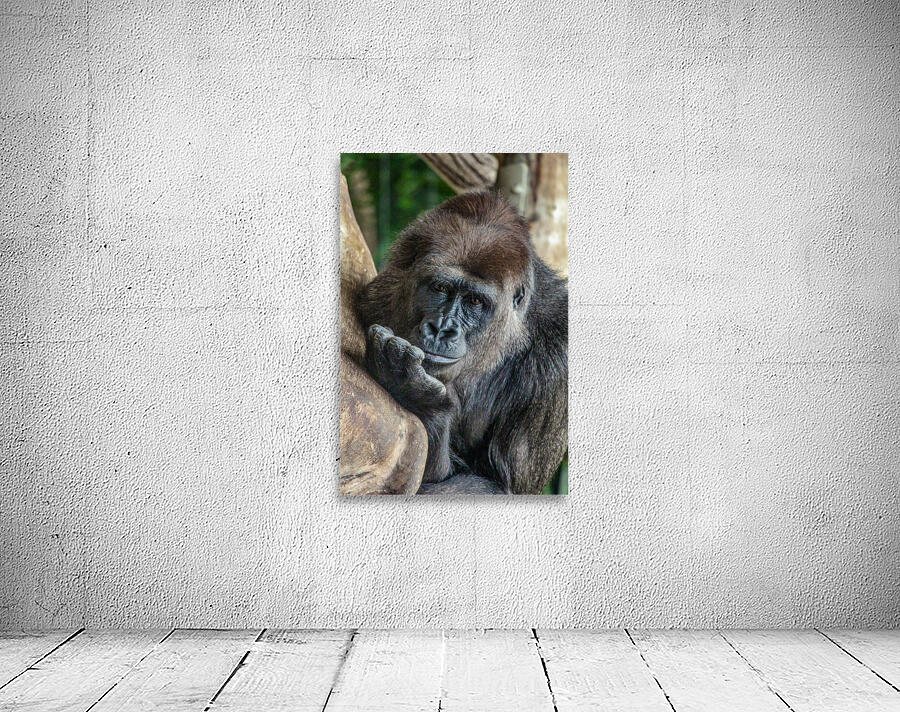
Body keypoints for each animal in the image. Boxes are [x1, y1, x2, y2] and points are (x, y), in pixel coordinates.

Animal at [357, 190, 567, 494]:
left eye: (475, 301)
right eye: (440, 288)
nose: (442, 329)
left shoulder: (559, 358)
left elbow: (500, 484)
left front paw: (419, 398)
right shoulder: (379, 297)